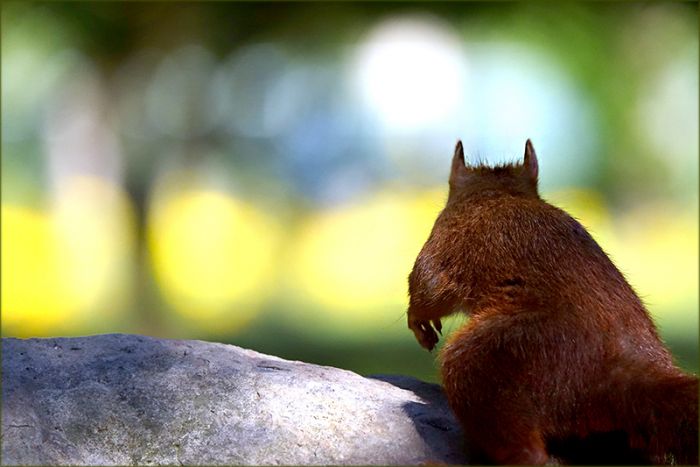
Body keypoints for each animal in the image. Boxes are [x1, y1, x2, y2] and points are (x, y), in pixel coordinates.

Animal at [406, 140, 698, 465]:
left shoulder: (443, 240)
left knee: (525, 447)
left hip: (492, 355)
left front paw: (417, 321)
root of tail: (617, 370)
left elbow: (427, 285)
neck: (498, 193)